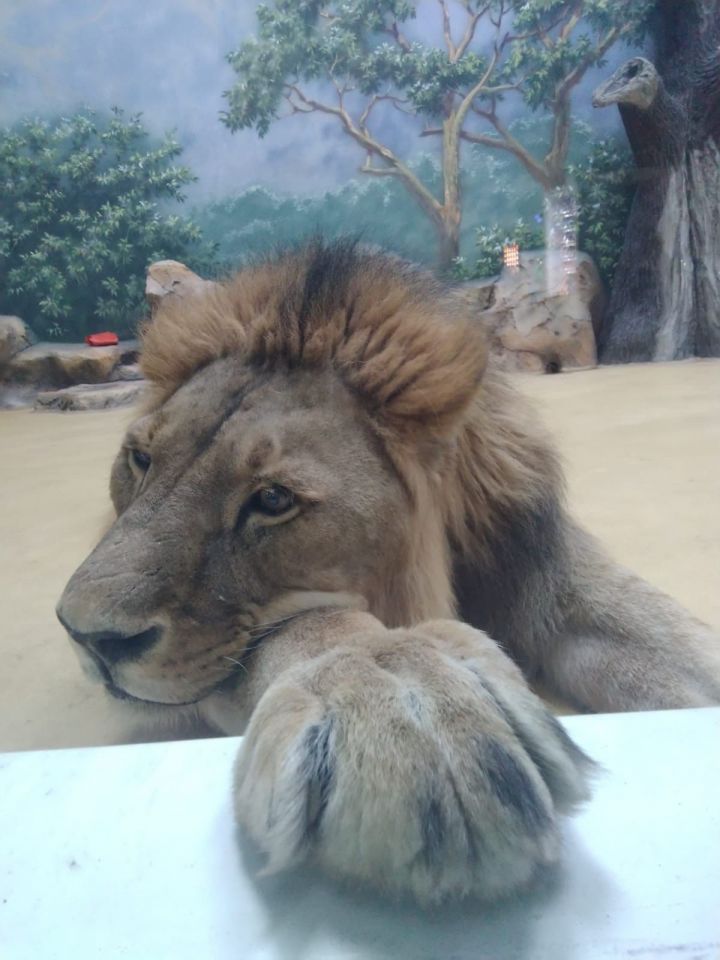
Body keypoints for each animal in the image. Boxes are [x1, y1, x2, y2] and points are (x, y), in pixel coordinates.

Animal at [57, 240, 720, 903]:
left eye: (272, 500)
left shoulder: (551, 571)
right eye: (140, 459)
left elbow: (664, 638)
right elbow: (310, 630)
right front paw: (400, 696)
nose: (87, 637)